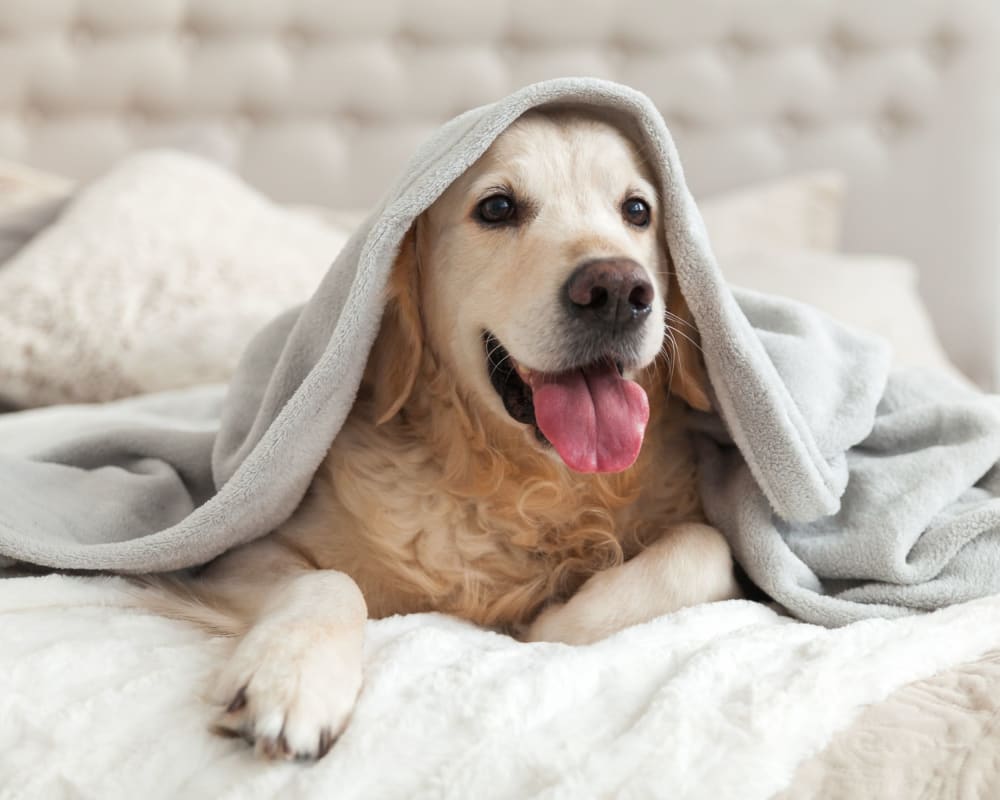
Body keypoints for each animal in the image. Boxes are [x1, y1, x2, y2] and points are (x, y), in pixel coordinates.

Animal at [148, 108, 744, 764]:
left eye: (637, 211)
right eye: (498, 207)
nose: (616, 290)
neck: (524, 485)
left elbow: (705, 547)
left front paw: (554, 622)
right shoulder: (232, 555)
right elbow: (327, 579)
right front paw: (291, 676)